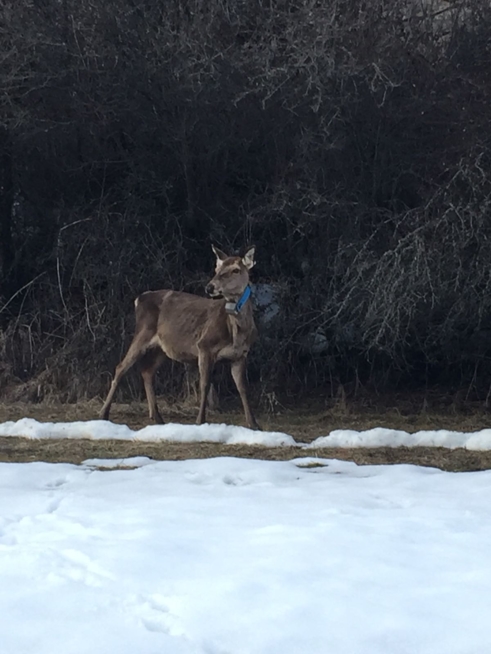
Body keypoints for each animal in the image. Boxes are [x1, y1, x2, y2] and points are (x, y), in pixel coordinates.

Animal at [100, 245, 262, 430]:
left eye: (236, 270)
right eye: (217, 269)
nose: (210, 287)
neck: (237, 331)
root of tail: (138, 298)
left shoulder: (240, 355)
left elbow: (242, 388)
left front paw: (254, 424)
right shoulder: (204, 346)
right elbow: (204, 384)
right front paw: (200, 421)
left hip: (161, 347)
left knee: (147, 370)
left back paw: (157, 417)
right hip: (142, 333)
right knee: (121, 367)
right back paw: (103, 413)